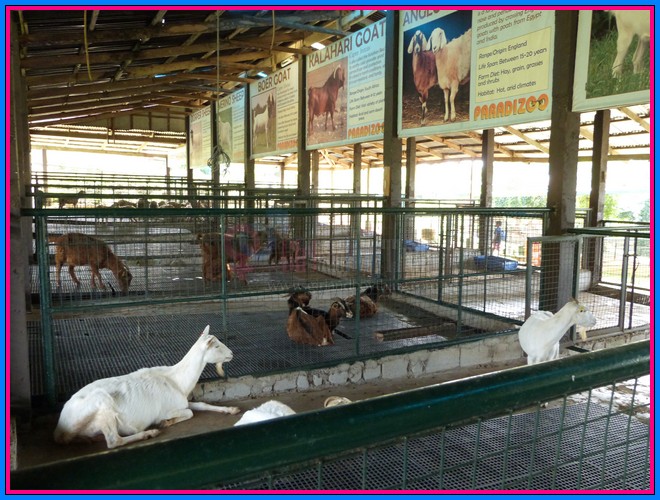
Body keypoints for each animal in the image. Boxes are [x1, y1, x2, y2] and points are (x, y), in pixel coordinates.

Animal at [54, 325, 240, 449]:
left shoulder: (181, 401)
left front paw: (231, 409)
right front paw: (166, 423)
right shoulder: (166, 409)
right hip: (102, 405)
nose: (232, 354)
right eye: (217, 346)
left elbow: (201, 404)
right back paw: (148, 433)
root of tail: (60, 428)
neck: (177, 381)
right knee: (114, 441)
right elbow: (189, 413)